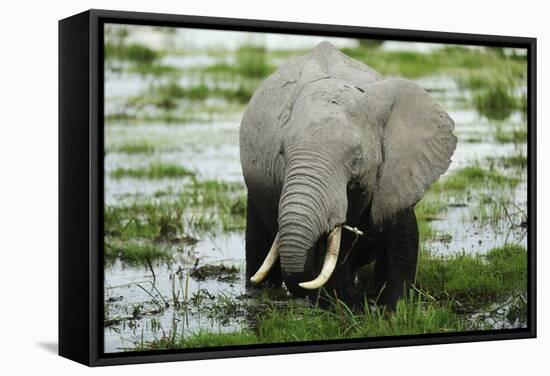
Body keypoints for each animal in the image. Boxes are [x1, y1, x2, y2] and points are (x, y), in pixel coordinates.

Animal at [239, 41, 460, 308]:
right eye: (281, 153)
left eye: (356, 160)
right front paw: (343, 307)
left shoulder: (396, 178)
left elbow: (403, 244)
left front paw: (394, 307)